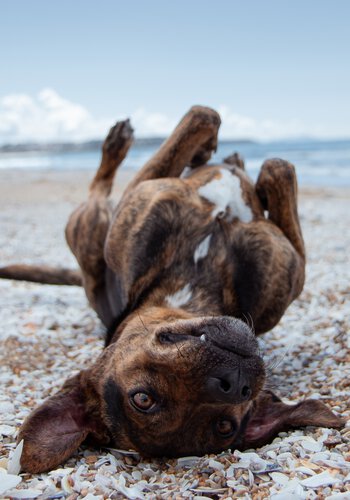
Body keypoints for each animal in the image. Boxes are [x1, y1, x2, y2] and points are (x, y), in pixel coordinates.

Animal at [1, 105, 344, 472]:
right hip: (89, 233)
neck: (191, 289)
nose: (234, 381)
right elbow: (219, 127)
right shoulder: (294, 259)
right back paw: (119, 144)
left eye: (226, 426)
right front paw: (230, 160)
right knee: (98, 190)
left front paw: (228, 161)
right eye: (143, 398)